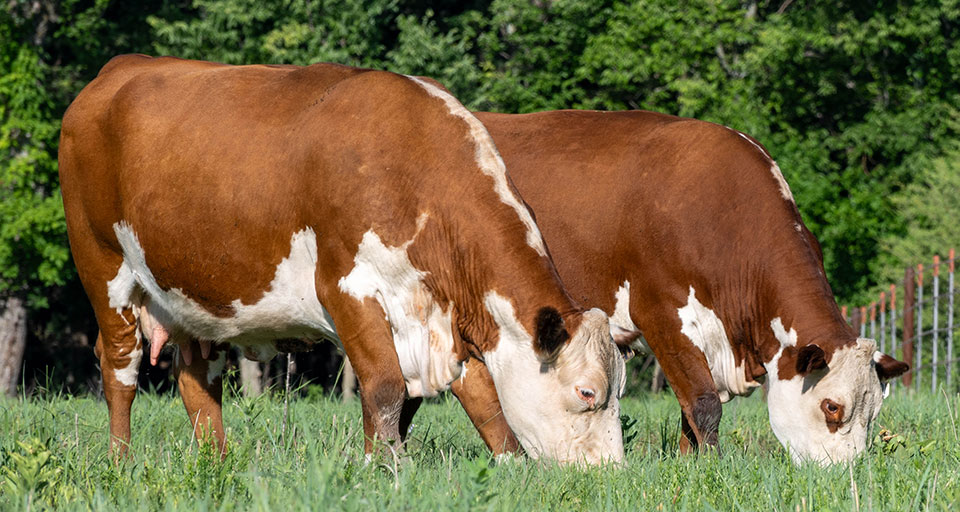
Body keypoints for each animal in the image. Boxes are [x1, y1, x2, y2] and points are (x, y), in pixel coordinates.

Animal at [57, 56, 626, 465]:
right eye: (587, 392)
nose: (607, 475)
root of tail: (118, 69)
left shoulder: (445, 318)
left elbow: (484, 402)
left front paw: (508, 469)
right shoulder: (347, 289)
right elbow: (385, 390)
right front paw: (387, 470)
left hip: (195, 294)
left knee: (198, 380)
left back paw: (216, 463)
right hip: (103, 267)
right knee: (119, 370)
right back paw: (121, 462)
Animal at [453, 109, 908, 465]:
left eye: (873, 413)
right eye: (832, 407)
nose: (845, 472)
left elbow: (690, 409)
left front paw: (690, 464)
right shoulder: (661, 315)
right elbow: (703, 403)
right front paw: (713, 466)